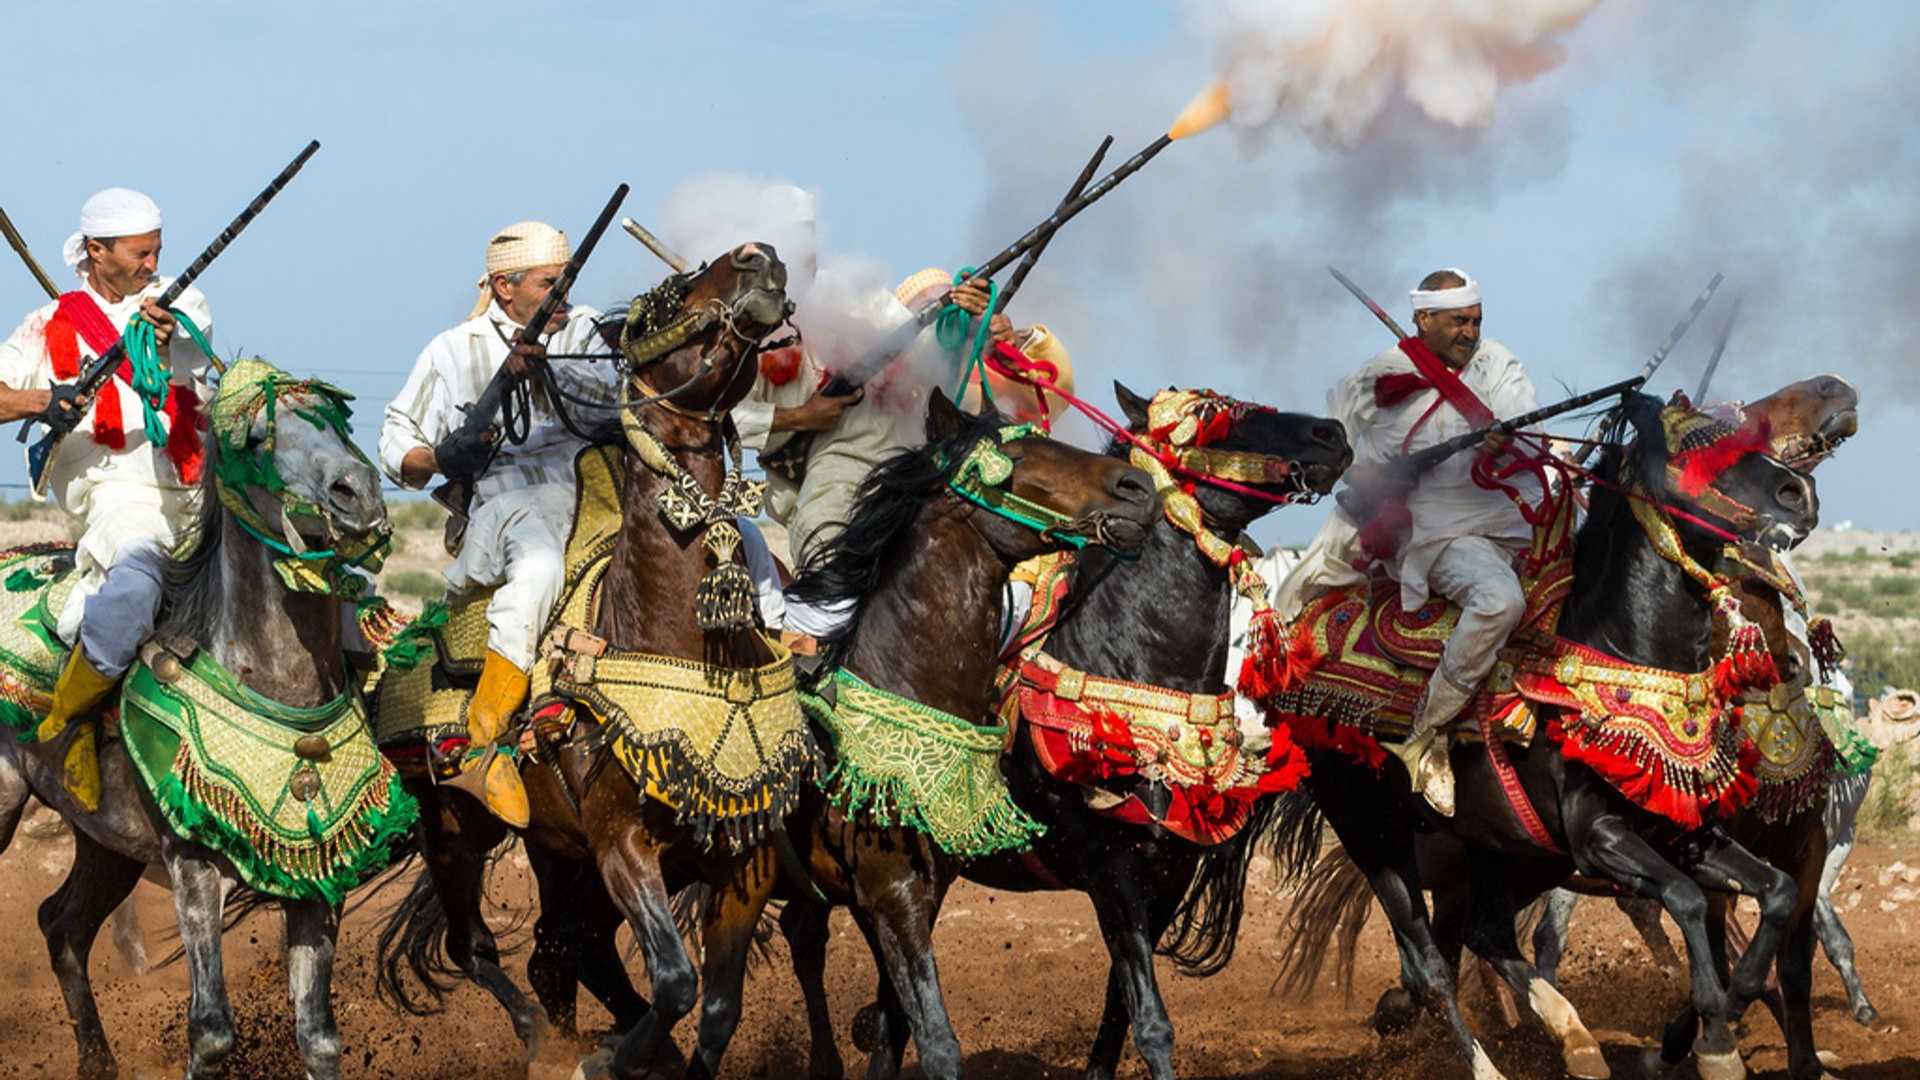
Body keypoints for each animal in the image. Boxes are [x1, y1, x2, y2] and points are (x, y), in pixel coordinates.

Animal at [0, 361, 393, 1076]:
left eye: (332, 420)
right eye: (258, 438)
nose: (357, 493)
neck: (274, 683)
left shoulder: (321, 876)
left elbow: (319, 1036)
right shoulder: (193, 864)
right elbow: (210, 1029)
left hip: (106, 844)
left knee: (61, 924)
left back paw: (97, 1059)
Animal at [1267, 388, 1820, 1076]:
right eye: (1697, 444)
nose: (1799, 491)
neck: (1618, 651)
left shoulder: (1684, 833)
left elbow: (1775, 894)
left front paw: (1723, 1014)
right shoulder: (1598, 836)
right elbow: (1687, 899)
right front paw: (1715, 1043)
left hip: (1506, 851)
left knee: (1486, 933)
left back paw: (1576, 1040)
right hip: (1378, 837)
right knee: (1431, 965)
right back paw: (1488, 1062)